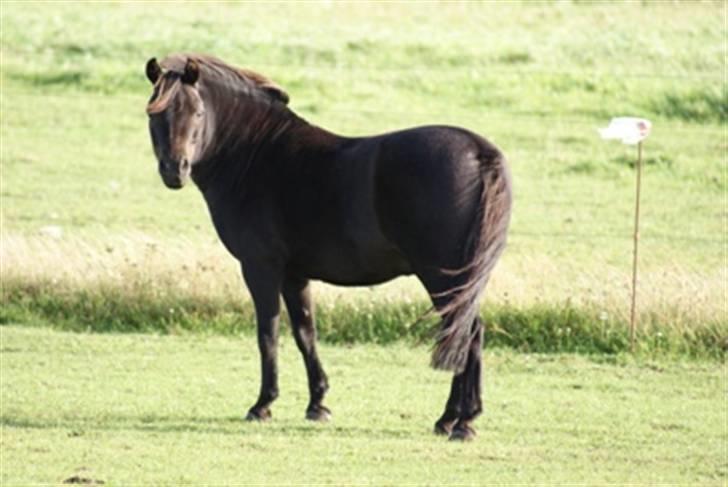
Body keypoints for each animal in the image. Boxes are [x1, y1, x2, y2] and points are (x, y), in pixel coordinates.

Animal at [145, 53, 512, 442]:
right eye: (155, 113)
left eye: (198, 112)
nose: (175, 170)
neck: (256, 154)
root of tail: (479, 152)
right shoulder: (294, 275)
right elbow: (305, 333)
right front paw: (317, 404)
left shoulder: (260, 267)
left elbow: (268, 333)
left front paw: (262, 405)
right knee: (469, 332)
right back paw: (454, 419)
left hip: (442, 277)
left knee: (465, 333)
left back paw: (460, 421)